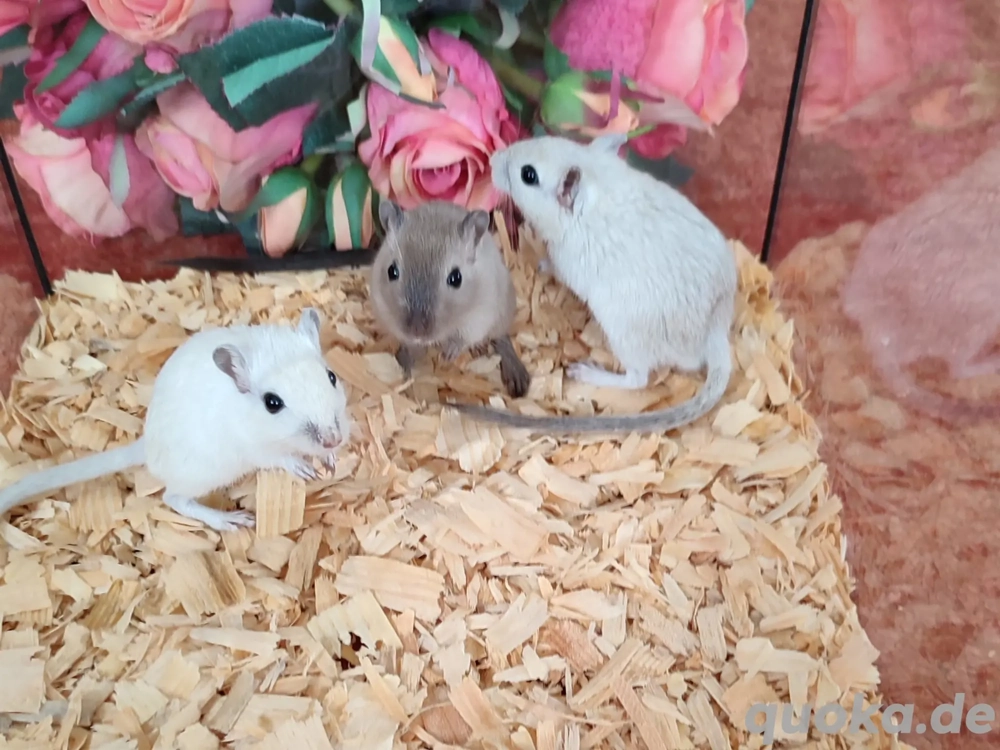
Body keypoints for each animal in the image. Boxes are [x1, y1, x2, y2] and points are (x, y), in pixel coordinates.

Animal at [0, 308, 351, 532]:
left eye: (332, 376)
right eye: (272, 403)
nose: (334, 439)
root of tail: (145, 446)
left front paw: (331, 461)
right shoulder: (256, 449)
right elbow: (281, 458)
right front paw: (305, 469)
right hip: (204, 473)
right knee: (174, 498)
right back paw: (231, 522)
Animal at [368, 199, 531, 398]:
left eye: (456, 278)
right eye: (392, 271)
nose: (417, 331)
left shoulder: (477, 319)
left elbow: (461, 339)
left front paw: (447, 355)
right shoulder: (385, 312)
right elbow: (409, 344)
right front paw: (410, 357)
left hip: (502, 311)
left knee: (501, 338)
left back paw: (517, 379)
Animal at [450, 133, 737, 434]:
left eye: (528, 175)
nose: (493, 159)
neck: (595, 182)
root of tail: (716, 334)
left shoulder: (566, 262)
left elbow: (553, 267)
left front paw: (540, 265)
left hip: (624, 333)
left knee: (638, 378)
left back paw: (584, 371)